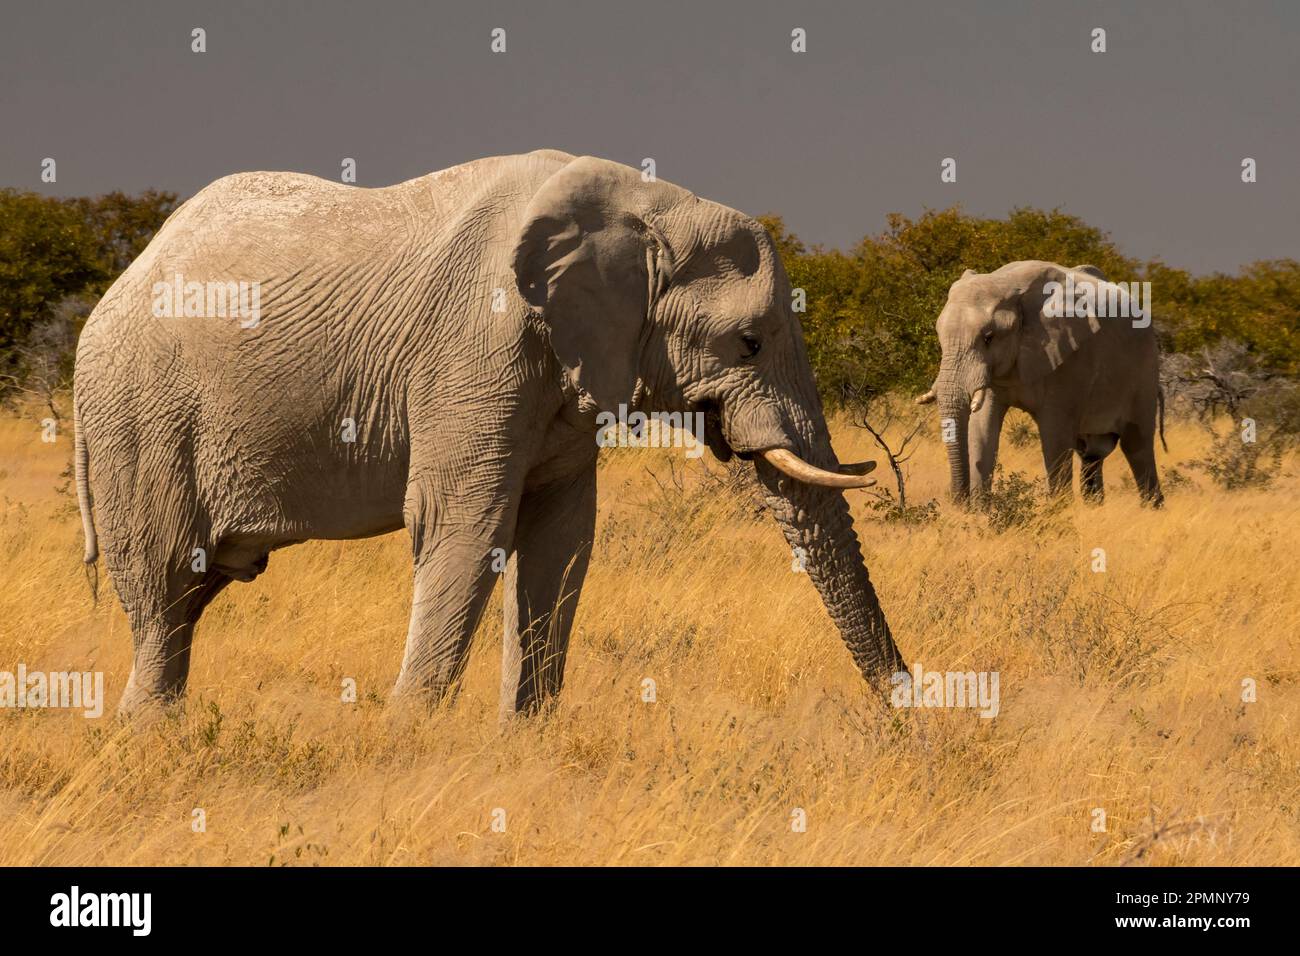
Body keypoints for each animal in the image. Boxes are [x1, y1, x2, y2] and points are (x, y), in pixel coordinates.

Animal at [73, 149, 904, 717]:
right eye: (750, 342)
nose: (908, 720)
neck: (644, 204)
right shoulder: (477, 347)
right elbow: (465, 526)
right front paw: (406, 740)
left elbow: (562, 541)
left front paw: (526, 738)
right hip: (138, 416)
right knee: (164, 584)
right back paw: (152, 740)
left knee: (192, 593)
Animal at [915, 257, 1170, 504]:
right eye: (939, 336)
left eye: (988, 337)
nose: (959, 500)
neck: (1007, 284)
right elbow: (982, 428)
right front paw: (980, 511)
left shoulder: (1070, 360)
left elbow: (1054, 434)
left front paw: (1059, 511)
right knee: (1091, 454)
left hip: (1144, 371)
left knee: (1137, 445)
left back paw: (1151, 506)